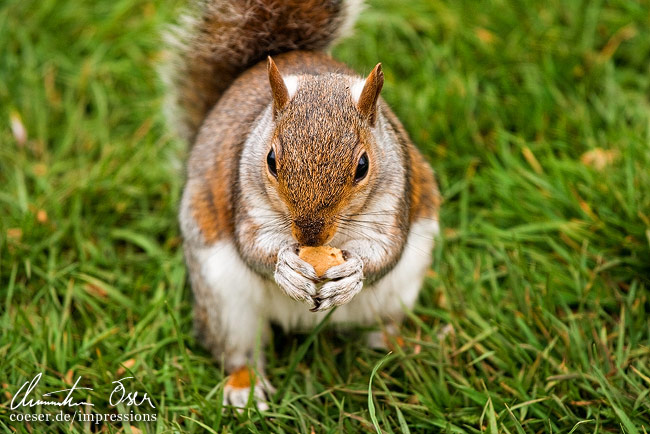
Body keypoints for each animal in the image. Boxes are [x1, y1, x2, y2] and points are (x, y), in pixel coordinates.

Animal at [162, 0, 440, 408]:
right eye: (271, 160)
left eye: (363, 166)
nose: (309, 236)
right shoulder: (246, 198)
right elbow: (253, 247)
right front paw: (286, 267)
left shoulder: (395, 199)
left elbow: (386, 252)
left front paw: (352, 273)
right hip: (224, 299)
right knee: (238, 349)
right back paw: (245, 388)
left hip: (400, 294)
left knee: (383, 325)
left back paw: (401, 349)